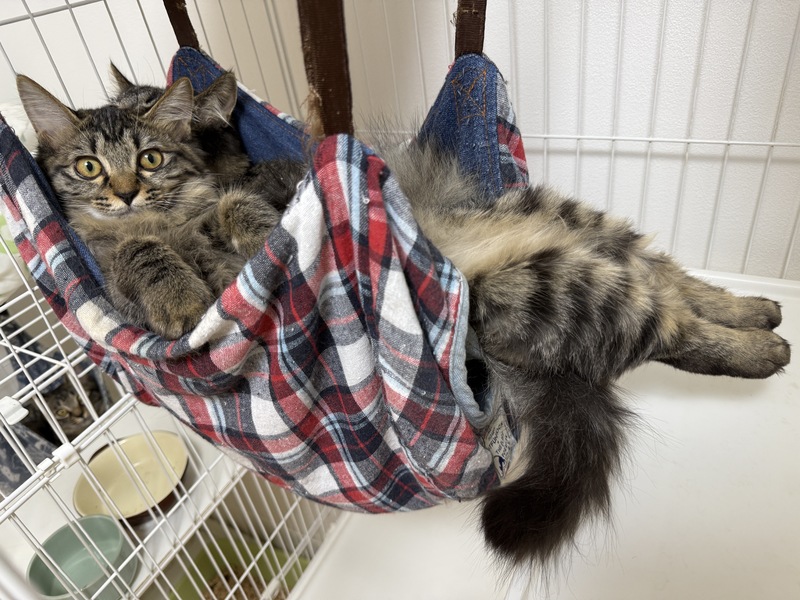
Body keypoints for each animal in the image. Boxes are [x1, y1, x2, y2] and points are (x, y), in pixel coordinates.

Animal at [17, 73, 791, 569]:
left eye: (152, 152)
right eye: (88, 166)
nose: (124, 190)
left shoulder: (254, 196)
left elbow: (240, 218)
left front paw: (250, 244)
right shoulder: (121, 262)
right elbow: (141, 254)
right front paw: (178, 289)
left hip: (566, 255)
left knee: (677, 307)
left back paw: (760, 330)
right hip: (559, 275)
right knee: (673, 308)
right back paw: (759, 323)